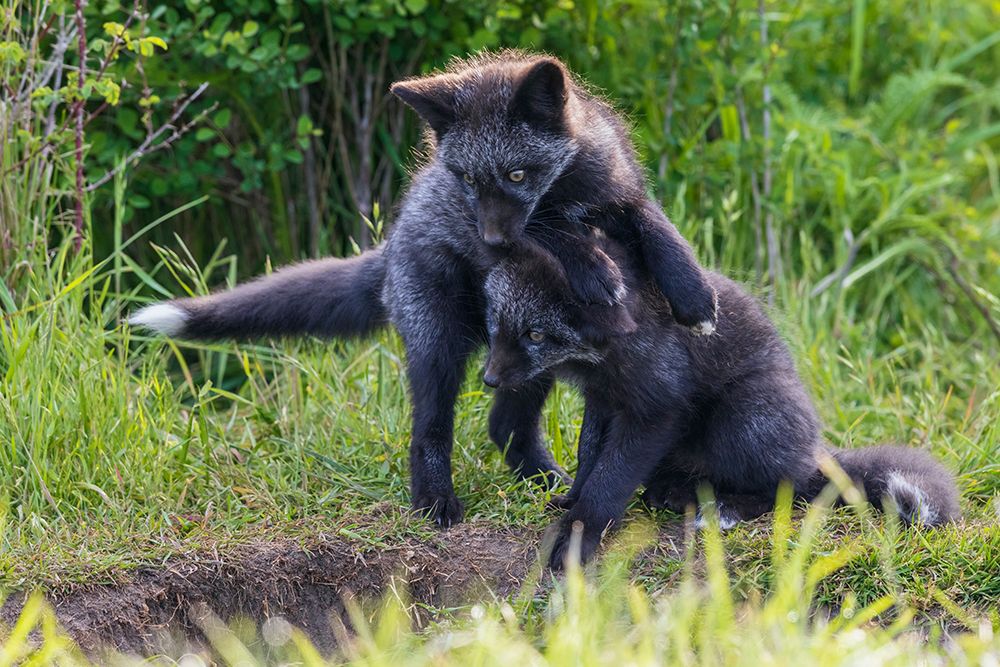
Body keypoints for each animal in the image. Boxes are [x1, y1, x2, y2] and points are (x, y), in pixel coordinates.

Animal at [129, 52, 719, 527]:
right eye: (467, 180)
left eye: (518, 174)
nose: (493, 242)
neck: (566, 189)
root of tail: (390, 250)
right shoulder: (525, 232)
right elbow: (554, 233)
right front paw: (593, 267)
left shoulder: (618, 191)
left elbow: (656, 227)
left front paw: (693, 295)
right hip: (443, 347)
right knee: (431, 431)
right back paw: (435, 503)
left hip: (524, 355)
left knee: (504, 426)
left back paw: (545, 481)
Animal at [482, 241, 961, 568]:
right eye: (497, 324)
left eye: (535, 335)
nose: (489, 379)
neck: (604, 355)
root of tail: (816, 448)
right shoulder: (603, 400)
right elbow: (588, 459)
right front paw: (570, 502)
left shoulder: (655, 409)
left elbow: (610, 477)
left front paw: (580, 532)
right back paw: (678, 495)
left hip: (741, 417)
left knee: (791, 487)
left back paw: (725, 510)